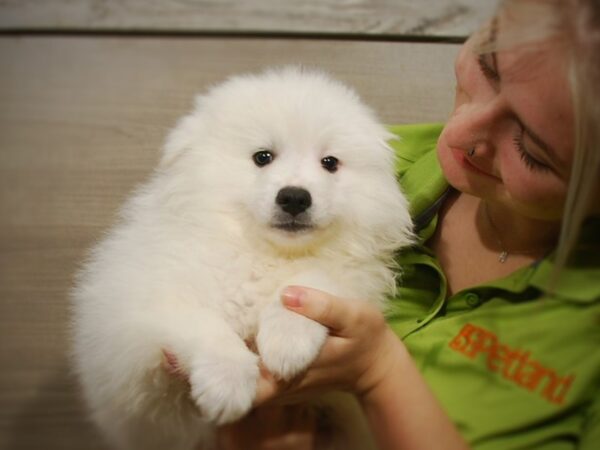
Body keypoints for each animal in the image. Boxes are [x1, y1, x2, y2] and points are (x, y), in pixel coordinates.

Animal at [71, 65, 412, 448]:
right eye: (262, 157)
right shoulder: (142, 316)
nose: (295, 197)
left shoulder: (353, 278)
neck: (262, 253)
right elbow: (203, 324)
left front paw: (288, 340)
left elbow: (315, 279)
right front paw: (228, 382)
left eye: (329, 163)